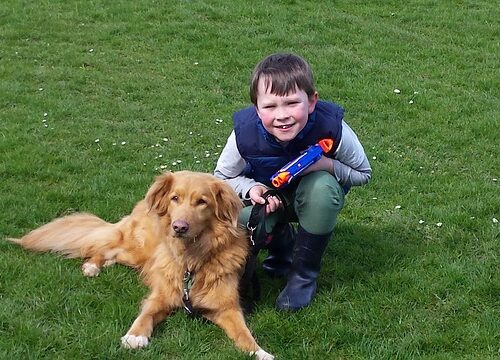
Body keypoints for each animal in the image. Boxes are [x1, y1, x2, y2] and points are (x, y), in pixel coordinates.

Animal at [7, 172, 274, 360]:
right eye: (175, 198)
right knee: (104, 247)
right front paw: (134, 336)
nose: (179, 227)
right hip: (138, 250)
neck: (191, 260)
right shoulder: (160, 296)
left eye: (202, 202)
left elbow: (243, 332)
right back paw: (92, 266)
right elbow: (146, 314)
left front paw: (259, 352)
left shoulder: (227, 307)